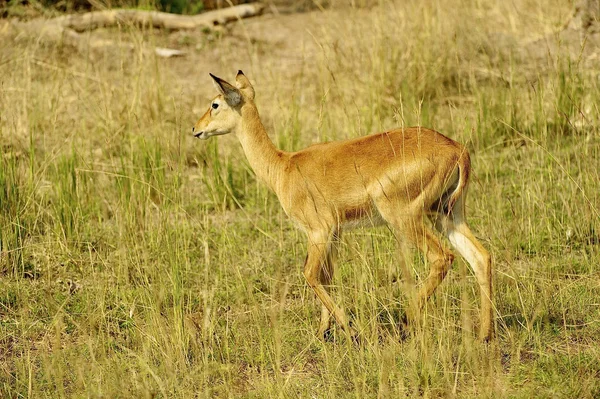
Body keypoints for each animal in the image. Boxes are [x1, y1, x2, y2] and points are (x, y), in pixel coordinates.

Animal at [191, 71, 492, 340]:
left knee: (442, 257)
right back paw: (484, 335)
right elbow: (327, 275)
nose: (196, 129)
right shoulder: (334, 233)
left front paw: (348, 329)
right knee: (480, 257)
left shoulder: (319, 231)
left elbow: (310, 274)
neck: (283, 166)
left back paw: (406, 323)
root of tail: (457, 150)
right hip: (447, 214)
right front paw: (324, 331)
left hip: (405, 218)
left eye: (215, 104)